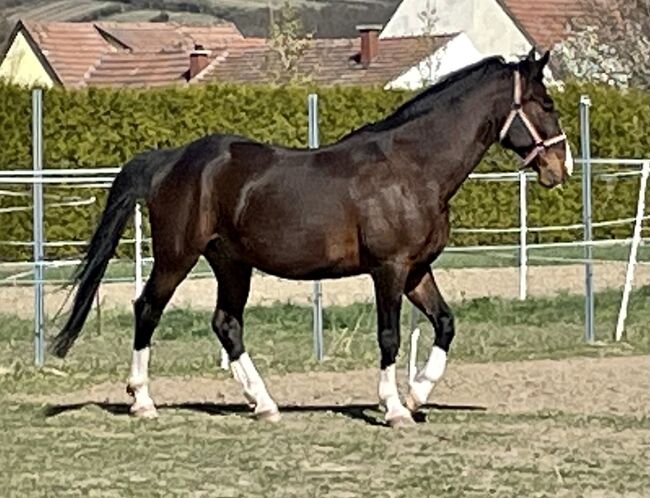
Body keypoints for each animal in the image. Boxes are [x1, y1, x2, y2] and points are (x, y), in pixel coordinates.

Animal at [49, 49, 573, 428]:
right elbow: (389, 336)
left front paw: (417, 394)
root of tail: (170, 159)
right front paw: (395, 408)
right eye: (546, 104)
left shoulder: (416, 270)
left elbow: (445, 324)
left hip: (232, 263)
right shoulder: (389, 269)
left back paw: (262, 403)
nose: (560, 167)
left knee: (226, 324)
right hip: (177, 257)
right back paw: (143, 402)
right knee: (148, 310)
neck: (412, 168)